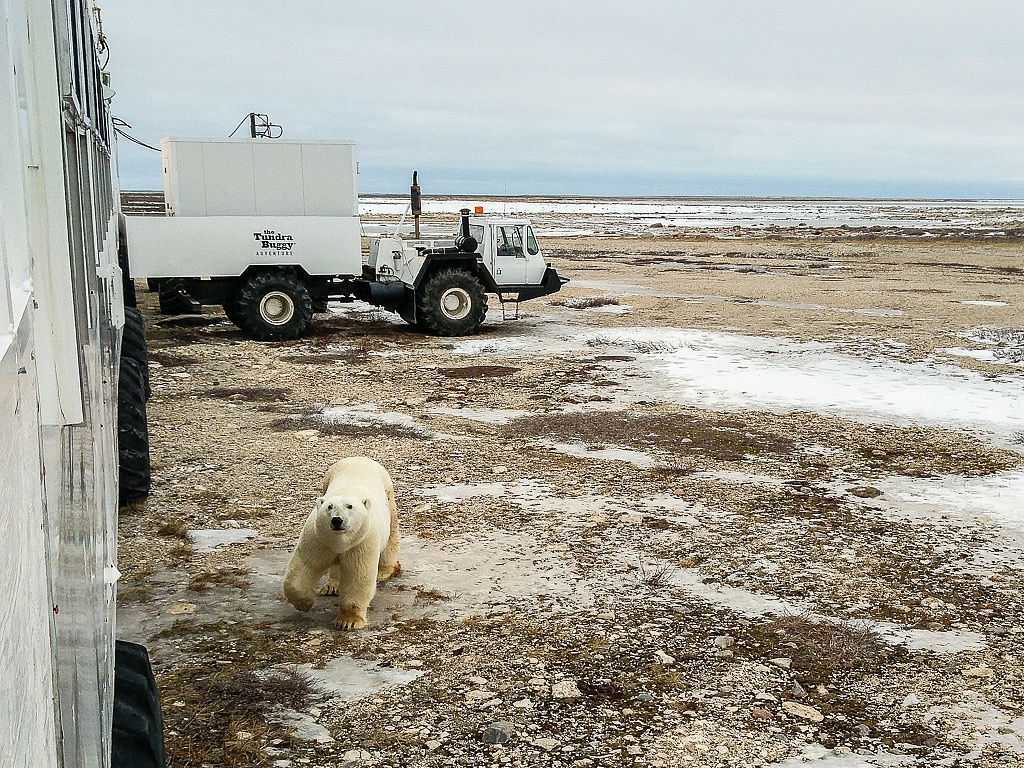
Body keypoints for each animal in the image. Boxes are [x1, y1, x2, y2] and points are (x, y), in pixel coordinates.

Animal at [288, 456, 403, 630]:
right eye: (329, 507)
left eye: (350, 506)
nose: (337, 520)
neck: (340, 541)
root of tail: (360, 457)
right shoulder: (319, 537)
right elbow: (305, 564)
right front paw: (305, 604)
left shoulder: (362, 540)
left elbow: (358, 574)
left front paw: (348, 621)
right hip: (326, 481)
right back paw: (331, 586)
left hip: (388, 497)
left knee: (391, 536)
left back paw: (383, 572)